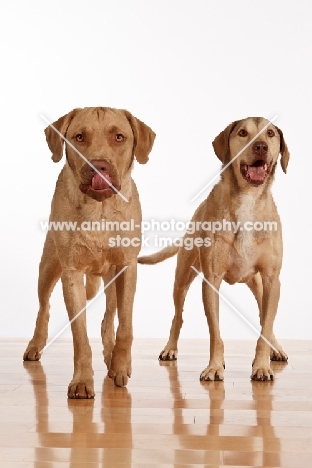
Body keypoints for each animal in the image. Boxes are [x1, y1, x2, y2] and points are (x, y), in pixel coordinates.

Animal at [23, 105, 155, 394]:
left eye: (119, 137)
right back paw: (35, 344)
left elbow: (125, 326)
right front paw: (82, 380)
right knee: (43, 308)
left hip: (111, 279)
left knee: (109, 318)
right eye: (79, 137)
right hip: (48, 269)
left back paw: (112, 356)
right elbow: (80, 335)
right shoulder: (71, 274)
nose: (99, 166)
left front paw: (120, 366)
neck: (100, 208)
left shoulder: (127, 268)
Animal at [140, 117, 290, 380]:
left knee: (266, 320)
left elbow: (265, 326)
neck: (249, 200)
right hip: (182, 279)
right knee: (177, 316)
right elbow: (215, 333)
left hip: (259, 285)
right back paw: (170, 348)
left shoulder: (272, 280)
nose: (261, 146)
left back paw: (276, 348)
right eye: (243, 133)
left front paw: (262, 365)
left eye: (270, 133)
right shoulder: (211, 281)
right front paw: (214, 367)